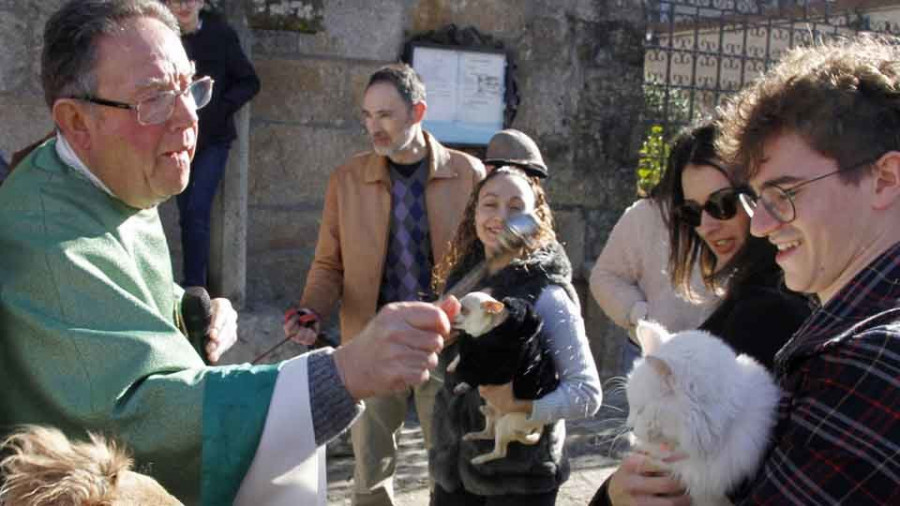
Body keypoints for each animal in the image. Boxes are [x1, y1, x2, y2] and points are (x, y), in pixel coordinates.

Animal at [448, 292, 548, 466]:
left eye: (463, 309)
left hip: (505, 424)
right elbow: (459, 358)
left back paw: (480, 459)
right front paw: (456, 373)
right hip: (493, 414)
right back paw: (476, 432)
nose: (451, 314)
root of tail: (540, 423)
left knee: (500, 451)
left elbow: (471, 372)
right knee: (489, 431)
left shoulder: (488, 370)